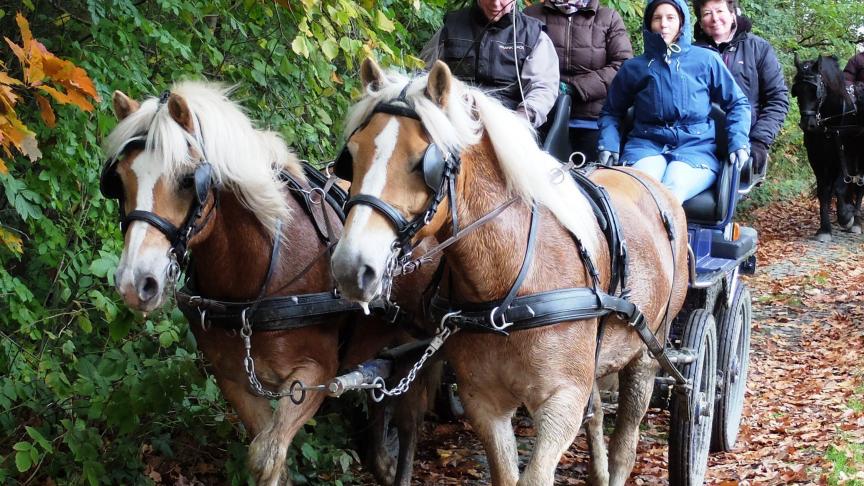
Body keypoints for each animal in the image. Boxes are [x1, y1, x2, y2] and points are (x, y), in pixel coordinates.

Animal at [103, 81, 438, 484]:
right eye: (119, 181)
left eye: (187, 180)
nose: (135, 282)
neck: (254, 283)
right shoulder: (233, 378)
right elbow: (266, 454)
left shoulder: (317, 374)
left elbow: (267, 454)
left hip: (418, 348)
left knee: (409, 418)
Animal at [330, 60, 688, 486]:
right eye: (351, 156)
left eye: (422, 162)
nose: (351, 266)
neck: (507, 291)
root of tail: (656, 186)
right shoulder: (485, 402)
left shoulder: (561, 401)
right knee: (598, 415)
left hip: (649, 352)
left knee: (626, 443)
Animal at [792, 53, 860, 241]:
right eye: (797, 91)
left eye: (816, 90)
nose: (808, 124)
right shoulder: (817, 158)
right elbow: (824, 190)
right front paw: (824, 229)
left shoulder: (844, 156)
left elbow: (839, 187)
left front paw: (846, 217)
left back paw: (857, 222)